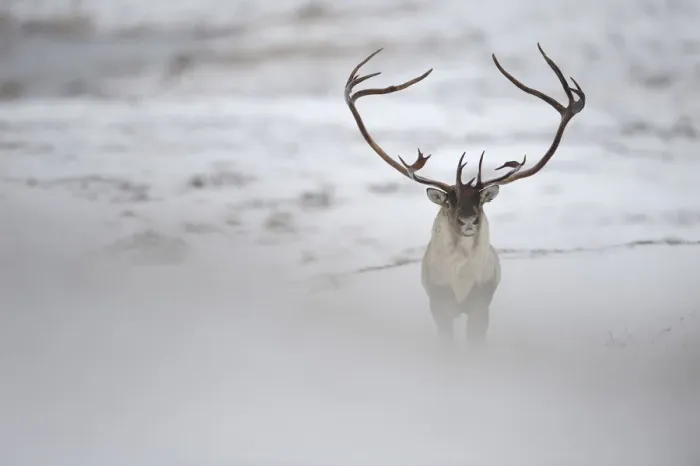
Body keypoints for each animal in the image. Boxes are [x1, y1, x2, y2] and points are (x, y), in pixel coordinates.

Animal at [344, 44, 585, 347]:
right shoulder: (439, 304)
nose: (468, 221)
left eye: (480, 201)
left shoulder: (481, 305)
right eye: (449, 202)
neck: (460, 281)